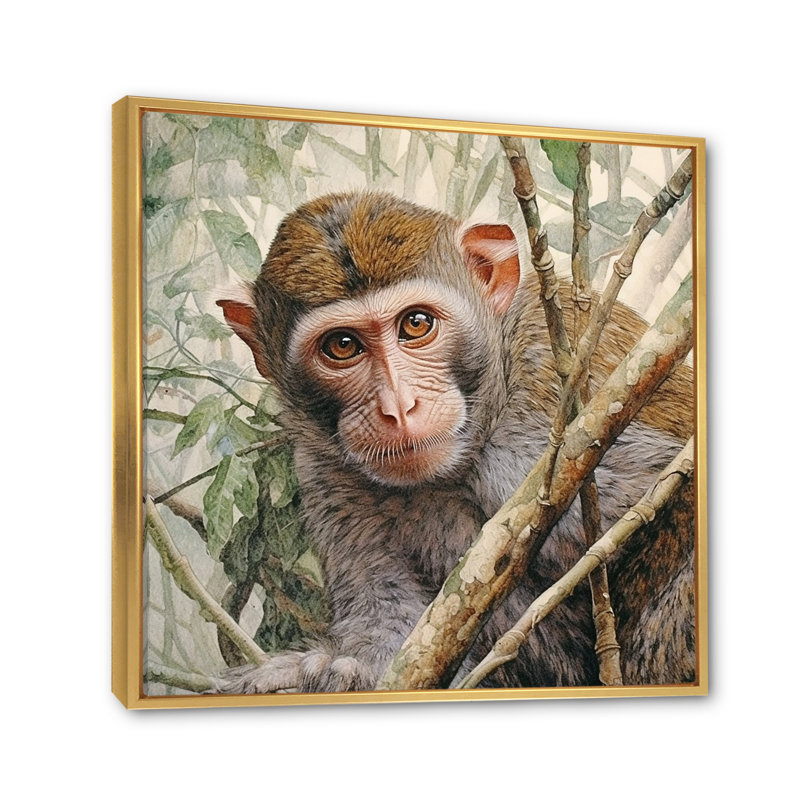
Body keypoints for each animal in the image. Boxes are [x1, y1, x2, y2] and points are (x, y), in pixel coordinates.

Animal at [216, 191, 696, 693]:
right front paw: (330, 673)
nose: (399, 406)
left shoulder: (551, 412)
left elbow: (678, 489)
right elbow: (394, 632)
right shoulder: (326, 470)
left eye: (416, 324)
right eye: (342, 346)